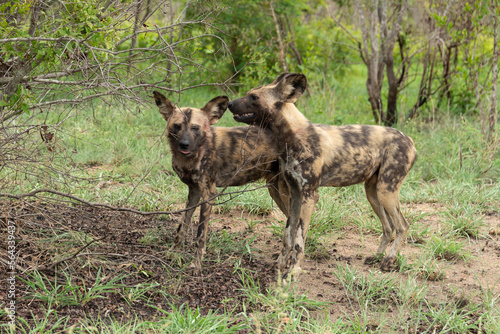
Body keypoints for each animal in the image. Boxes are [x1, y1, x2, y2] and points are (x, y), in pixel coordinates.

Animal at [152, 91, 288, 272]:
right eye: (177, 126)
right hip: (276, 191)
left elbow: (200, 235)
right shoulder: (194, 192)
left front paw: (196, 265)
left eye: (195, 128)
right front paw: (174, 252)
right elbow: (182, 225)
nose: (184, 144)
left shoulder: (208, 195)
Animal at [229, 74, 418, 280]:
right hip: (373, 193)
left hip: (386, 191)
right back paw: (376, 257)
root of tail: (409, 139)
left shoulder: (309, 196)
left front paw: (293, 271)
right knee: (388, 226)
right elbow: (288, 234)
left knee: (402, 225)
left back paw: (388, 260)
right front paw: (279, 265)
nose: (229, 103)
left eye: (254, 97)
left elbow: (299, 239)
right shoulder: (295, 194)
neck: (292, 138)